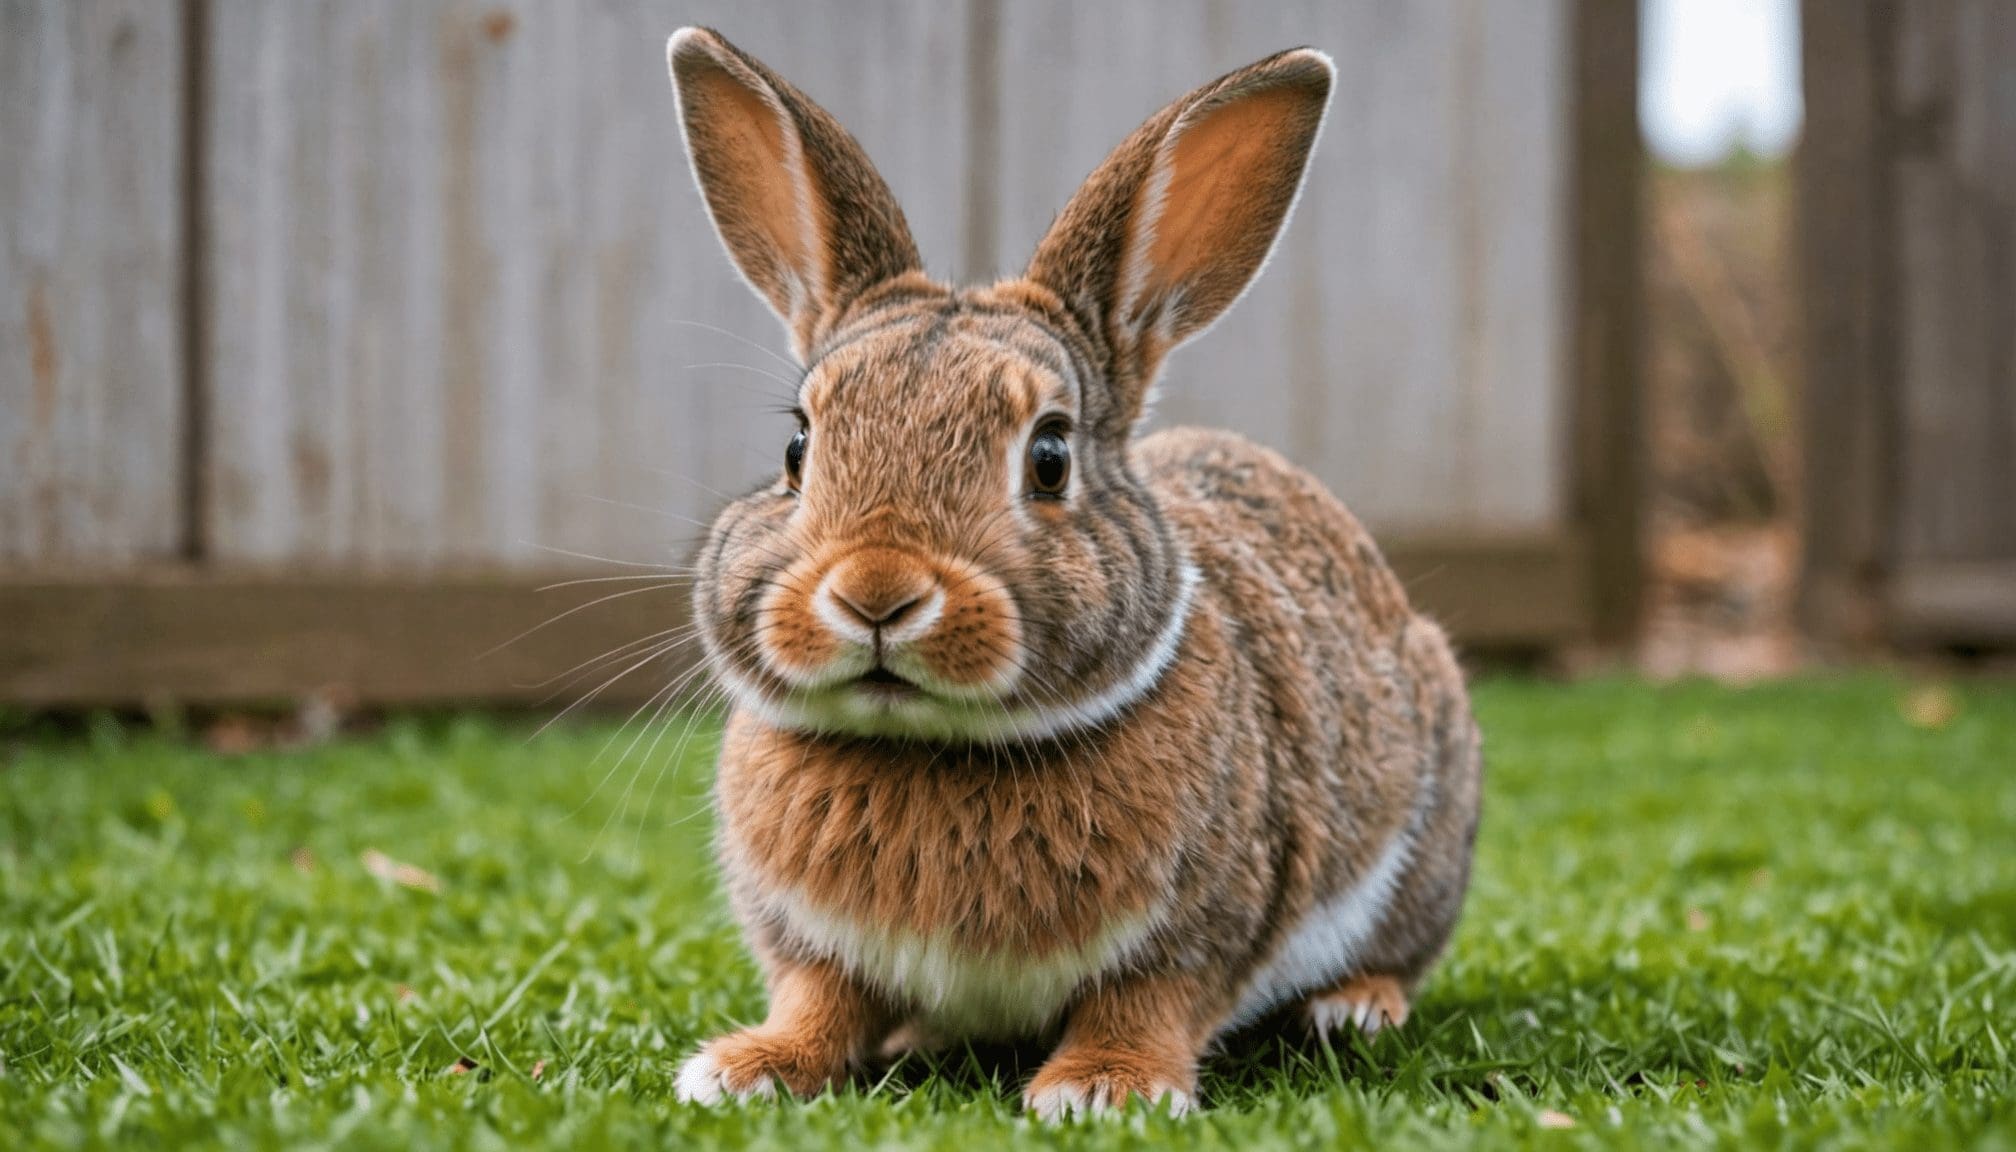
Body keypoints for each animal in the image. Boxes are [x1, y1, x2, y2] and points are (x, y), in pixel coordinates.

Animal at [662, 27, 1482, 1119]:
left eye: (1049, 456)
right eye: (797, 447)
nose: (876, 592)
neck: (934, 748)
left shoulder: (1197, 928)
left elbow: (1146, 1000)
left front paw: (1104, 1090)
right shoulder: (812, 947)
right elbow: (820, 999)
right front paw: (748, 1067)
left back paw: (1354, 1008)